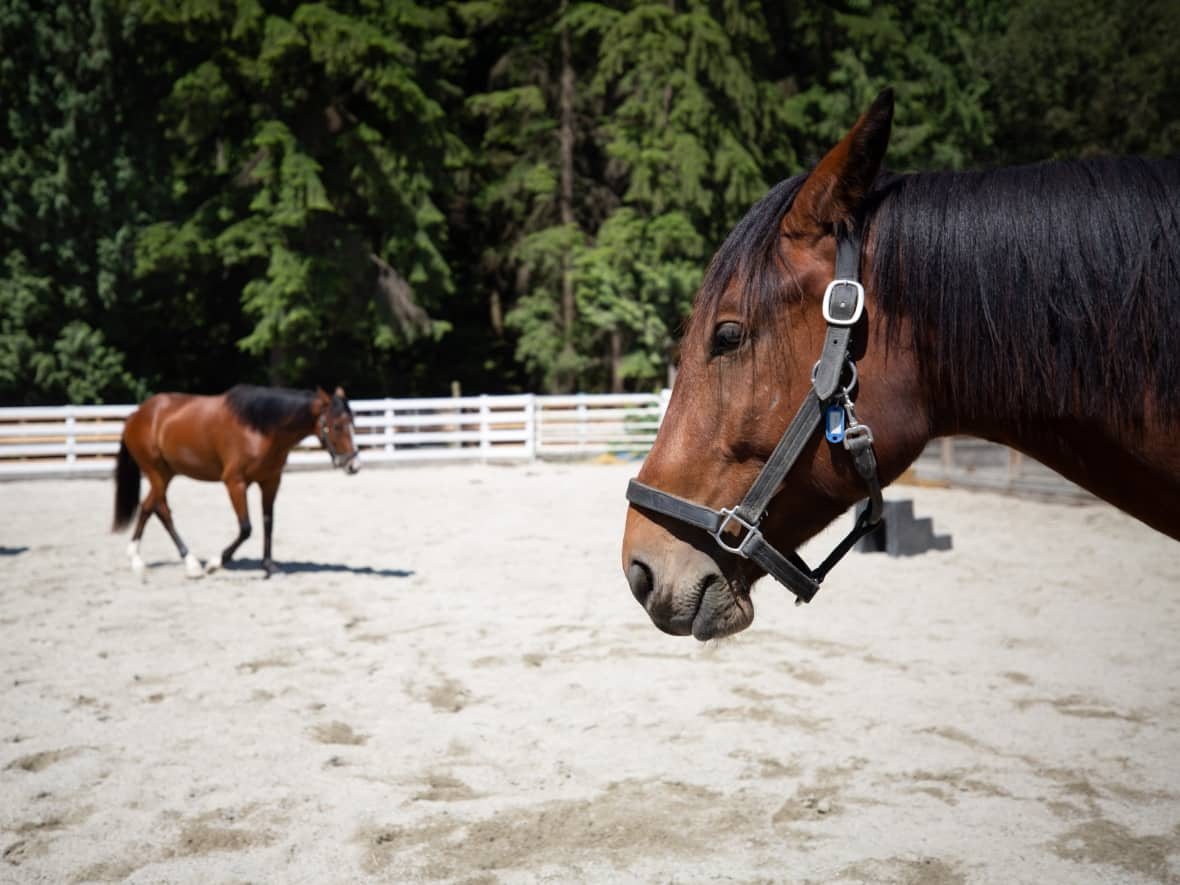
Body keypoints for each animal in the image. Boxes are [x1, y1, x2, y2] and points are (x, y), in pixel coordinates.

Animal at [118, 384, 363, 578]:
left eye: (353, 423)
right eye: (337, 425)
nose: (354, 465)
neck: (259, 428)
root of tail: (136, 414)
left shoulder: (271, 481)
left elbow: (268, 522)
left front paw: (269, 566)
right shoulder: (234, 483)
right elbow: (246, 528)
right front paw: (216, 562)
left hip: (165, 474)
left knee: (148, 507)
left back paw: (136, 559)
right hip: (156, 472)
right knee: (163, 511)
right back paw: (192, 564)